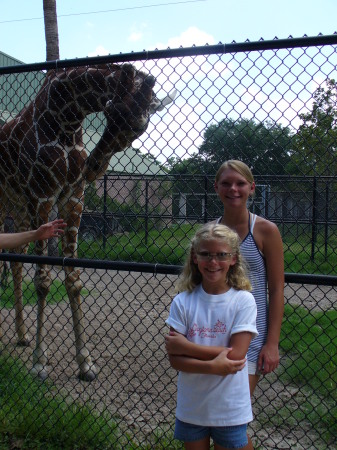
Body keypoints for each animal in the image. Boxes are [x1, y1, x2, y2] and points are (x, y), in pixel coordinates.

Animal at [0, 62, 176, 380]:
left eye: (139, 126)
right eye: (108, 110)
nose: (93, 166)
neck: (66, 118)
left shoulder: (73, 197)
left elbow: (73, 280)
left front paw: (85, 363)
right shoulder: (42, 195)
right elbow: (43, 280)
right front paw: (39, 362)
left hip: (17, 207)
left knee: (16, 262)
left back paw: (21, 335)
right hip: (4, 201)